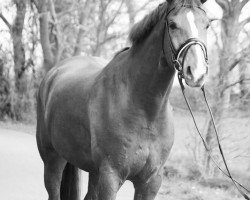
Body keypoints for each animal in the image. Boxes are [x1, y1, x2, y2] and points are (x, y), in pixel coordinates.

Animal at [35, 0, 209, 199]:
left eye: (207, 24)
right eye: (172, 25)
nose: (197, 72)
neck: (145, 110)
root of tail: (54, 73)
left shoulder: (150, 182)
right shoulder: (111, 177)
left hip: (93, 171)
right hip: (53, 159)